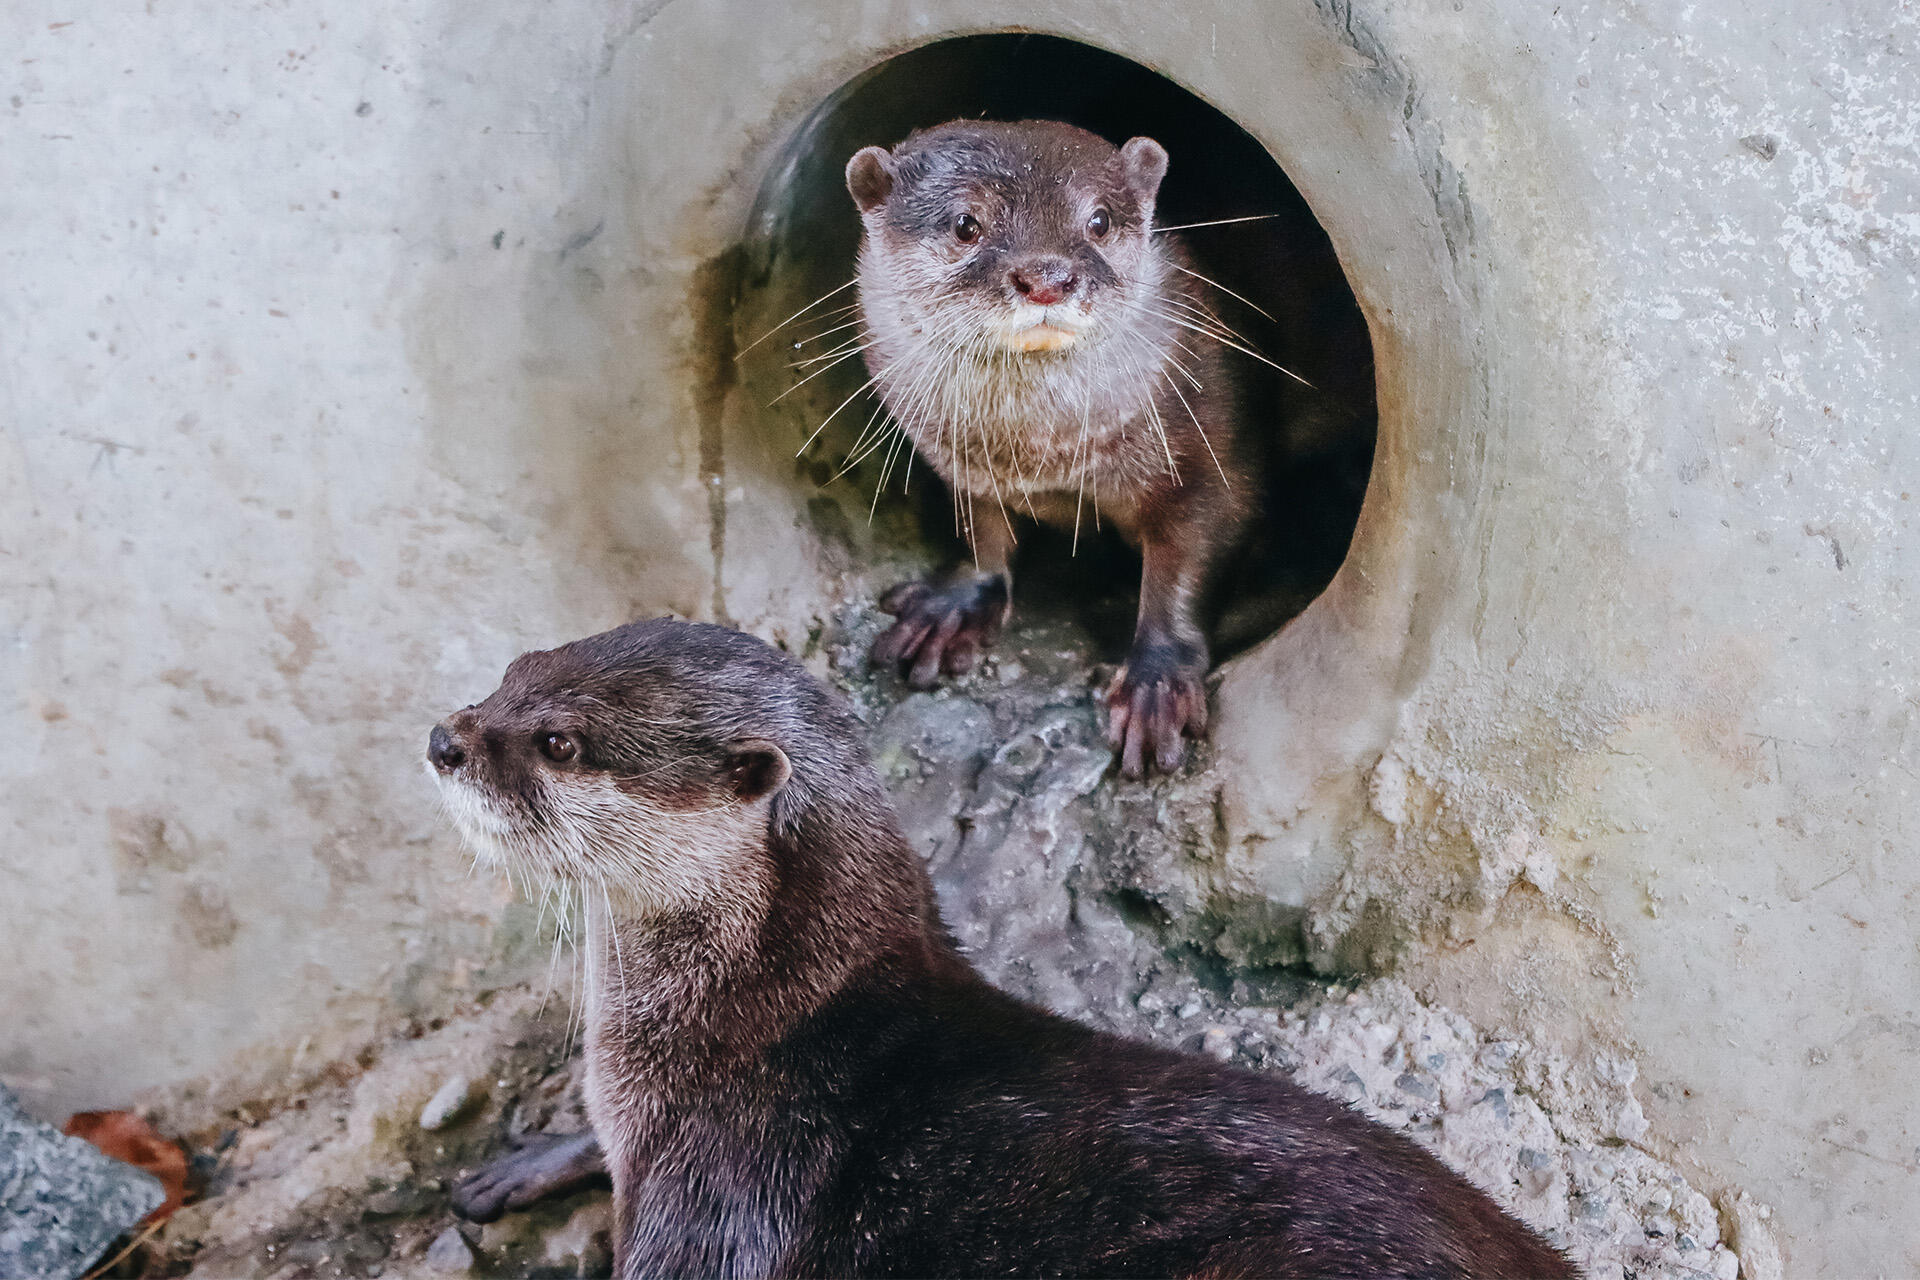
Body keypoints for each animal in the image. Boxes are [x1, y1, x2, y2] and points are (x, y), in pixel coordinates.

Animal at [428, 618, 1576, 1279]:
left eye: (561, 741)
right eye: (512, 672)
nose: (446, 738)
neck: (748, 1034)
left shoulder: (725, 1195)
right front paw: (524, 1162)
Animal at [847, 120, 1259, 778]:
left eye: (1099, 221)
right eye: (966, 224)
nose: (1046, 278)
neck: (1047, 457)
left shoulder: (1213, 441)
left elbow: (1196, 550)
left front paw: (1156, 687)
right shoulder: (961, 464)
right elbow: (980, 528)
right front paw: (950, 609)